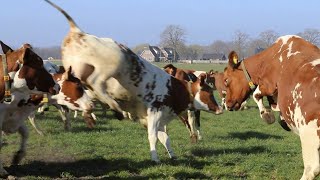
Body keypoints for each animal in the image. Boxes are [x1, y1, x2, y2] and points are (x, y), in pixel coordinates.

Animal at [43, 0, 222, 162]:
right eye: (208, 93)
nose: (220, 109)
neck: (174, 89)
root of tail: (79, 32)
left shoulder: (158, 119)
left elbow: (165, 138)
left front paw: (172, 155)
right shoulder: (154, 113)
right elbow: (153, 137)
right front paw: (155, 158)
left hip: (75, 70)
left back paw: (93, 112)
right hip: (110, 66)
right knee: (97, 82)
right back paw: (115, 108)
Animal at [222, 34, 320, 179]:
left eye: (226, 80)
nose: (227, 104)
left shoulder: (268, 85)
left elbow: (256, 94)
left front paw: (267, 115)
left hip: (309, 133)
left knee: (312, 168)